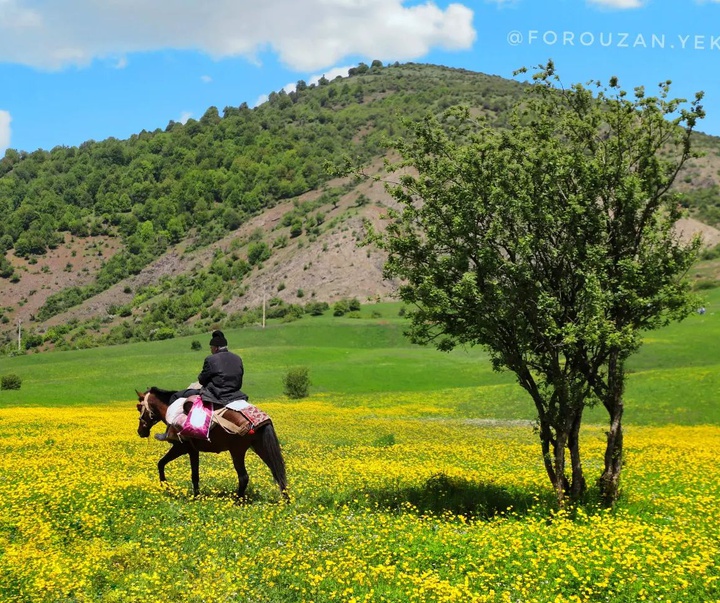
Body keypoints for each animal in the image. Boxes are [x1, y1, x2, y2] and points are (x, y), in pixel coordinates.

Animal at [136, 386, 286, 500]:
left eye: (139, 407)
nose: (140, 431)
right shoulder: (191, 450)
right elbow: (191, 473)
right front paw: (195, 495)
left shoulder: (182, 448)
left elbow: (166, 465)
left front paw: (167, 487)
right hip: (260, 447)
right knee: (277, 471)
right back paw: (286, 500)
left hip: (237, 451)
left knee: (244, 477)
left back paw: (238, 501)